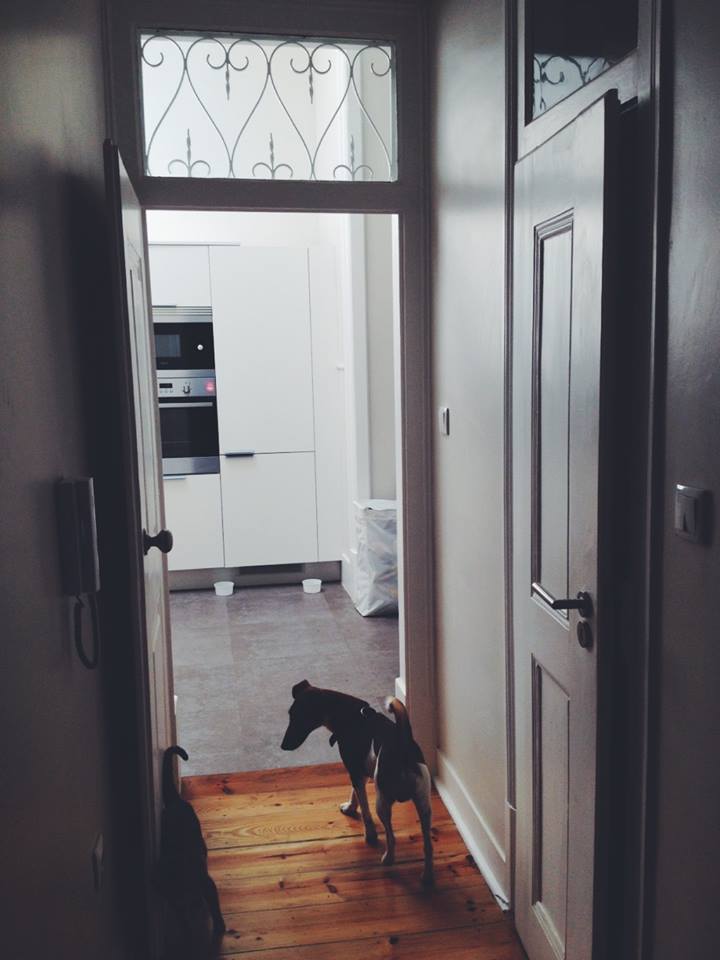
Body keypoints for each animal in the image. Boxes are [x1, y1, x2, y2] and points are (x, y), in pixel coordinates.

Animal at [157, 745, 225, 957]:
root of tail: (175, 802)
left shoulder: (205, 882)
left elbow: (214, 904)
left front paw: (219, 926)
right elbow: (182, 919)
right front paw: (187, 934)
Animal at [280, 680, 434, 885]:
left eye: (301, 717)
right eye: (290, 714)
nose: (283, 746)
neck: (348, 715)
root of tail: (403, 747)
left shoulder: (356, 772)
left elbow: (365, 811)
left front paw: (369, 834)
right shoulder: (360, 772)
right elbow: (354, 793)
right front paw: (350, 807)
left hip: (383, 802)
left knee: (391, 836)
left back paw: (388, 859)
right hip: (424, 805)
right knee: (428, 845)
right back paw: (427, 877)